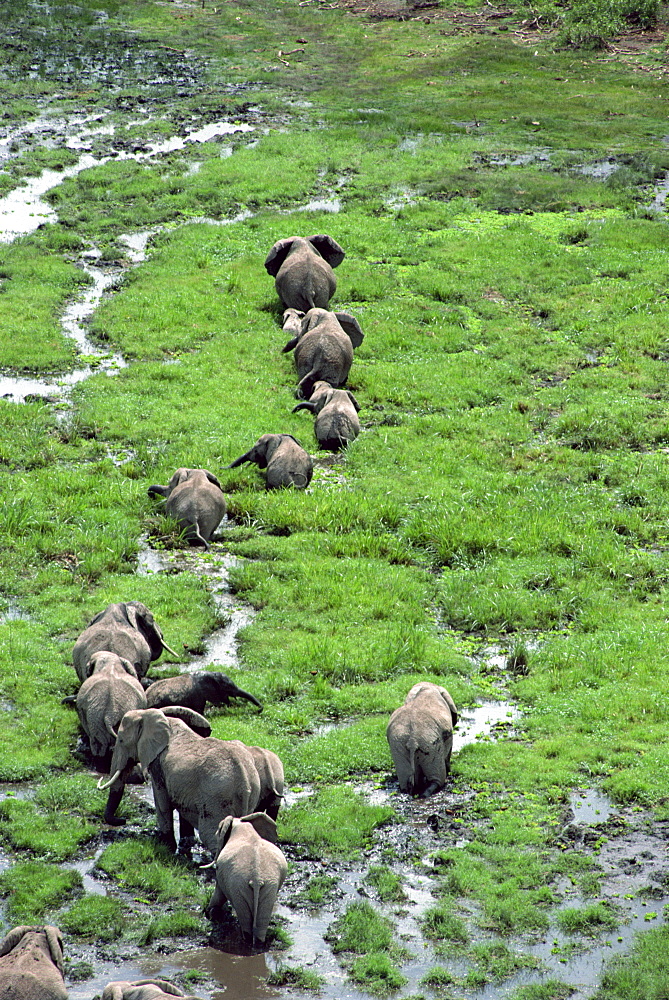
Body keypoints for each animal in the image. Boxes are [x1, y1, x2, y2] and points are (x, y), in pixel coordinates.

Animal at [98, 704, 260, 852]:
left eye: (120, 741)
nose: (122, 820)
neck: (147, 714)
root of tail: (245, 781)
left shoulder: (158, 765)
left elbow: (161, 802)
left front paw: (167, 847)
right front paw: (184, 844)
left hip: (217, 799)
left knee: (211, 836)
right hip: (250, 795)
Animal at [204, 812, 288, 944]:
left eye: (217, 833)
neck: (242, 824)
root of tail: (257, 879)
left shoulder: (220, 872)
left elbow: (219, 891)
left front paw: (209, 913)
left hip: (238, 887)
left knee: (244, 918)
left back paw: (246, 940)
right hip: (269, 885)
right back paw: (257, 943)